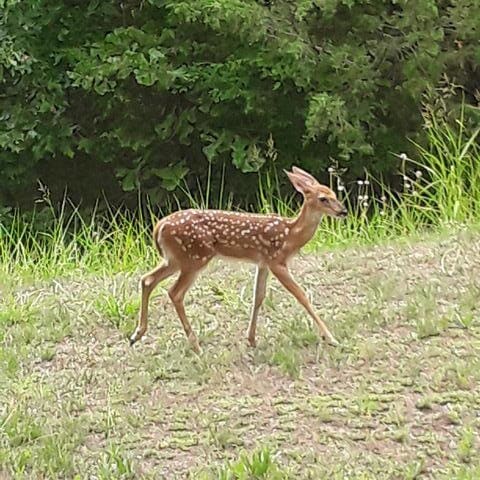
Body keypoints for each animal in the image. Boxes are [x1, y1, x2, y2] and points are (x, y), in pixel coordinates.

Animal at [131, 168, 346, 352]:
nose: (343, 211)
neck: (290, 236)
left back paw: (137, 334)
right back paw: (195, 345)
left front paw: (251, 339)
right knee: (174, 292)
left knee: (148, 279)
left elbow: (258, 297)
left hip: (175, 259)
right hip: (195, 257)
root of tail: (159, 226)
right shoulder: (276, 261)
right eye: (323, 198)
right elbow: (301, 295)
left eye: (334, 194)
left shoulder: (263, 263)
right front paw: (331, 338)